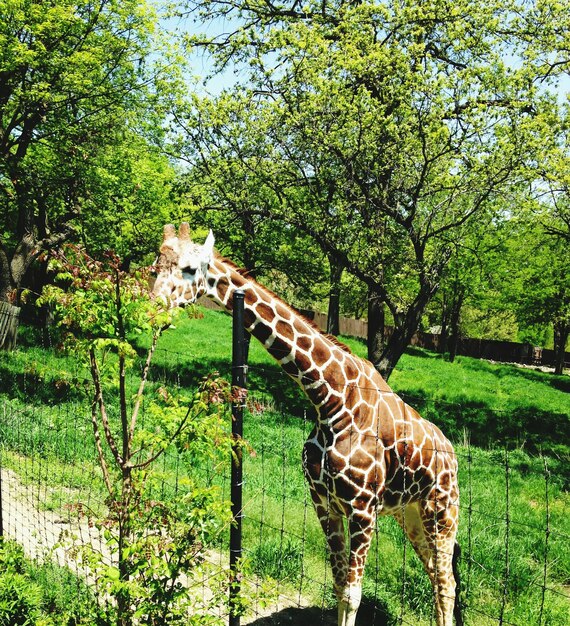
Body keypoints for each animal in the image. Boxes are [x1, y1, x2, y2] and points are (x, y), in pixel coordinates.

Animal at [152, 224, 462, 624]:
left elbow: (353, 594)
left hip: (441, 511)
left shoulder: (362, 508)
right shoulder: (323, 501)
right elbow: (339, 586)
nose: (152, 306)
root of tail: (451, 452)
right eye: (155, 264)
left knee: (446, 582)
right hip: (408, 513)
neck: (329, 401)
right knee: (435, 575)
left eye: (190, 268)